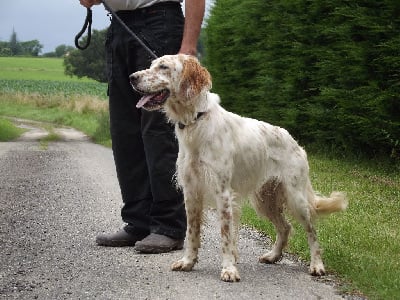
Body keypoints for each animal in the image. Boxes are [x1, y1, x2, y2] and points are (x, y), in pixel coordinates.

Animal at [130, 55, 346, 282]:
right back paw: (273, 255)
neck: (196, 120)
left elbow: (226, 235)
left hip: (296, 198)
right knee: (285, 227)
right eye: (152, 65)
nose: (132, 77)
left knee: (312, 231)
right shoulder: (191, 192)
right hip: (265, 200)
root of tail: (295, 143)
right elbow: (192, 232)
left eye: (163, 67)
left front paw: (228, 269)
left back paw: (317, 264)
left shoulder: (223, 193)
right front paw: (188, 261)